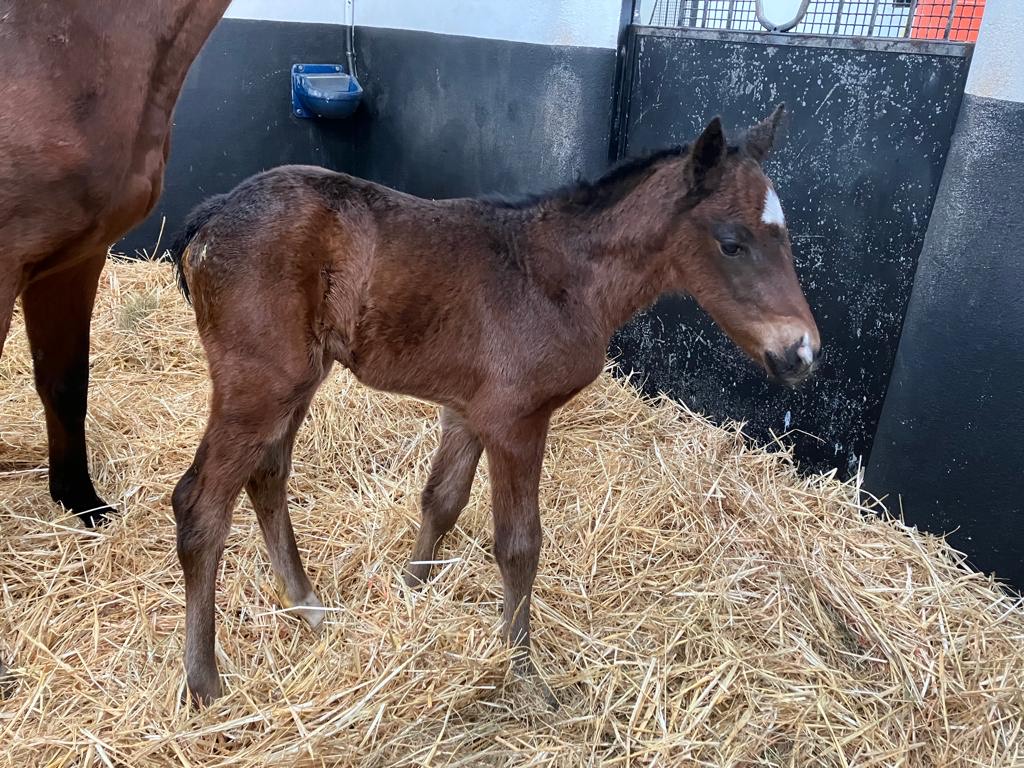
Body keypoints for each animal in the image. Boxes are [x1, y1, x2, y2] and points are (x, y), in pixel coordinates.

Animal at [169, 107, 823, 704]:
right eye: (731, 243)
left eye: (786, 238)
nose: (802, 352)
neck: (562, 277)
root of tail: (210, 216)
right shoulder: (517, 421)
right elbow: (518, 544)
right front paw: (524, 672)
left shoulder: (469, 410)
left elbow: (442, 501)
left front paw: (413, 591)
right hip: (261, 384)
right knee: (200, 505)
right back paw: (205, 683)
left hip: (298, 381)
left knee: (267, 477)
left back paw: (308, 607)